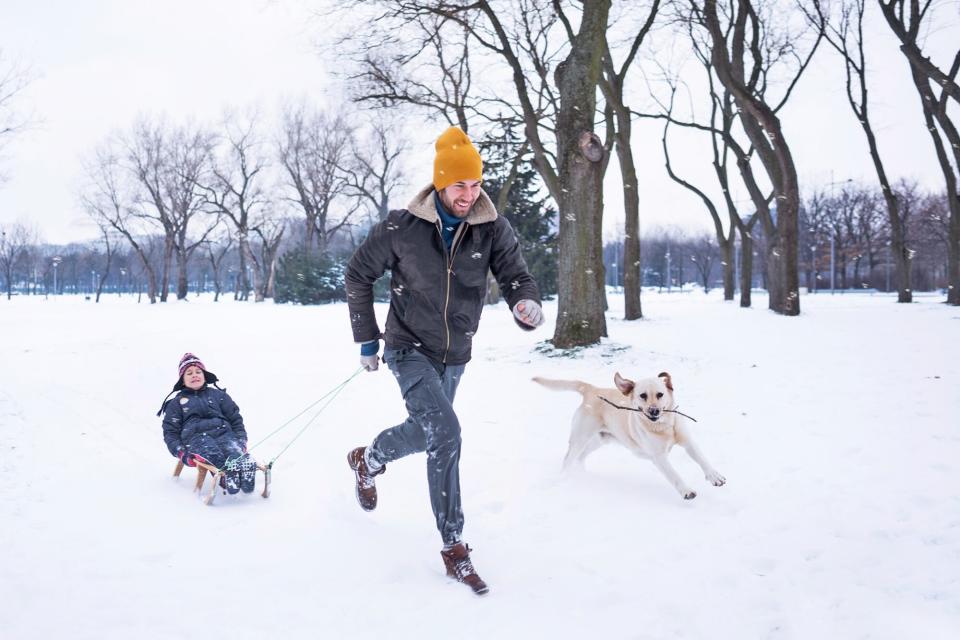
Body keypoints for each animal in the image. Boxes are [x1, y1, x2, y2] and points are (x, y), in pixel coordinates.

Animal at [528, 370, 724, 500]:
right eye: (643, 395)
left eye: (660, 394)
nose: (654, 411)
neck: (663, 427)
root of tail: (591, 389)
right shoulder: (658, 457)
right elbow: (674, 475)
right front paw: (686, 491)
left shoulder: (688, 441)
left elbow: (702, 459)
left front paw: (715, 477)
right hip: (580, 438)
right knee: (568, 458)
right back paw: (563, 478)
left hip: (600, 440)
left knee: (581, 456)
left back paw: (581, 471)